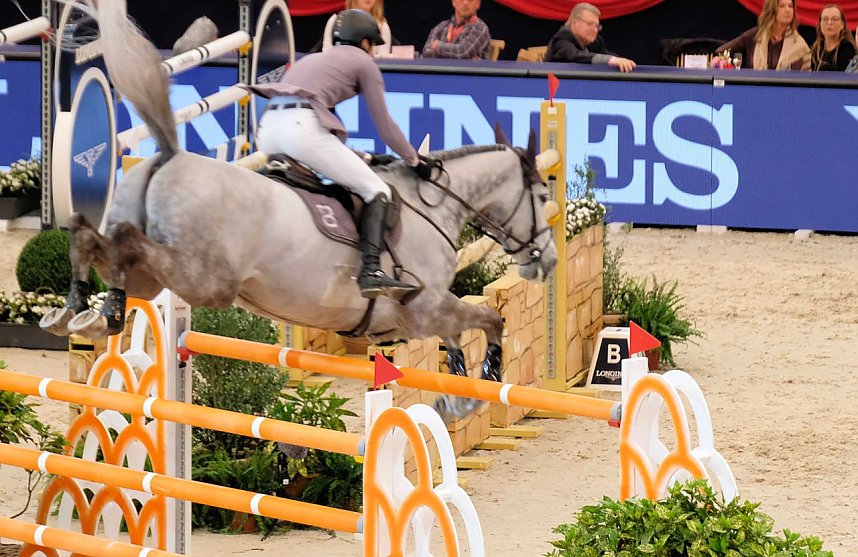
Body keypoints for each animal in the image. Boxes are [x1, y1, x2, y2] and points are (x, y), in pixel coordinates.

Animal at [41, 0, 559, 418]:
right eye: (542, 197)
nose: (549, 261)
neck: (433, 206)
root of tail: (167, 156)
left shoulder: (428, 314)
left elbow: (459, 341)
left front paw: (457, 396)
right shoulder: (424, 309)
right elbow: (490, 320)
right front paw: (482, 383)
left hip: (157, 279)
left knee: (99, 242)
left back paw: (83, 311)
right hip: (205, 279)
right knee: (124, 245)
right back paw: (88, 309)